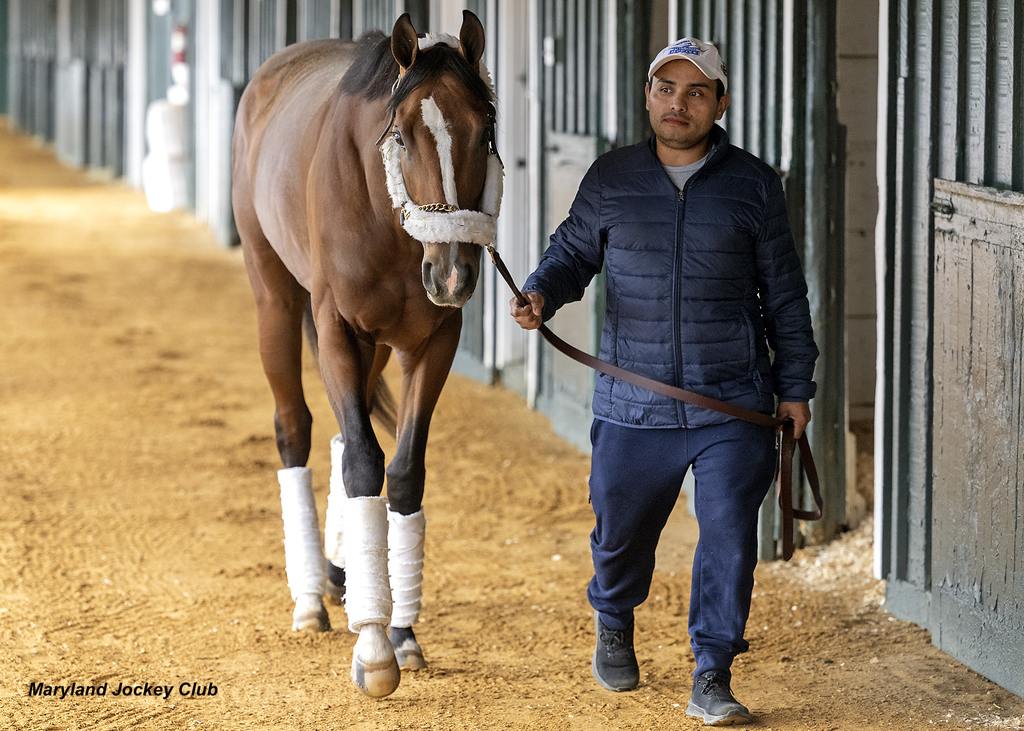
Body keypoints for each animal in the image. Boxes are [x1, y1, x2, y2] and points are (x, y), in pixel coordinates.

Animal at [232, 9, 503, 696]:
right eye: (401, 136)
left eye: (485, 128)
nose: (453, 275)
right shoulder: (335, 329)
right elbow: (362, 463)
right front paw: (375, 647)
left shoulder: (433, 341)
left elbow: (402, 471)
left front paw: (400, 629)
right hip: (275, 298)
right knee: (295, 428)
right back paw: (310, 597)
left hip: (377, 345)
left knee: (338, 435)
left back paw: (343, 576)